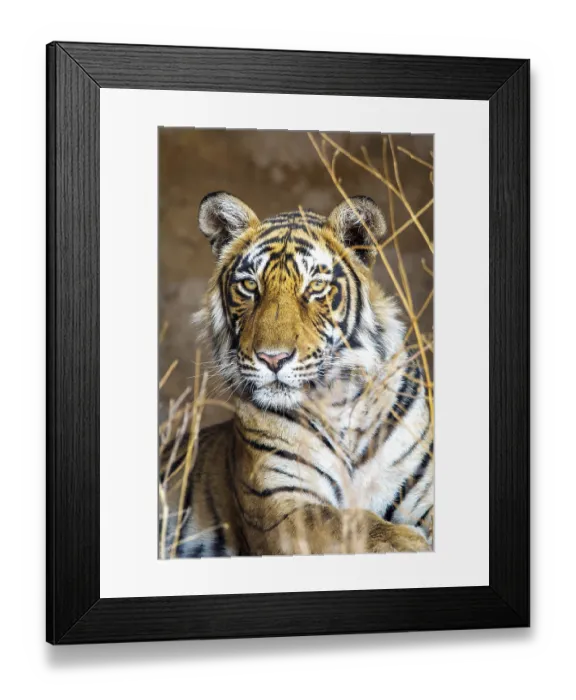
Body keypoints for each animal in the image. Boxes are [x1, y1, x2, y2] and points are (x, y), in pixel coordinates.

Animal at [161, 191, 434, 557]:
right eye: (249, 286)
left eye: (316, 286)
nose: (272, 358)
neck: (339, 403)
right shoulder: (282, 504)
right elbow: (345, 520)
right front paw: (405, 541)